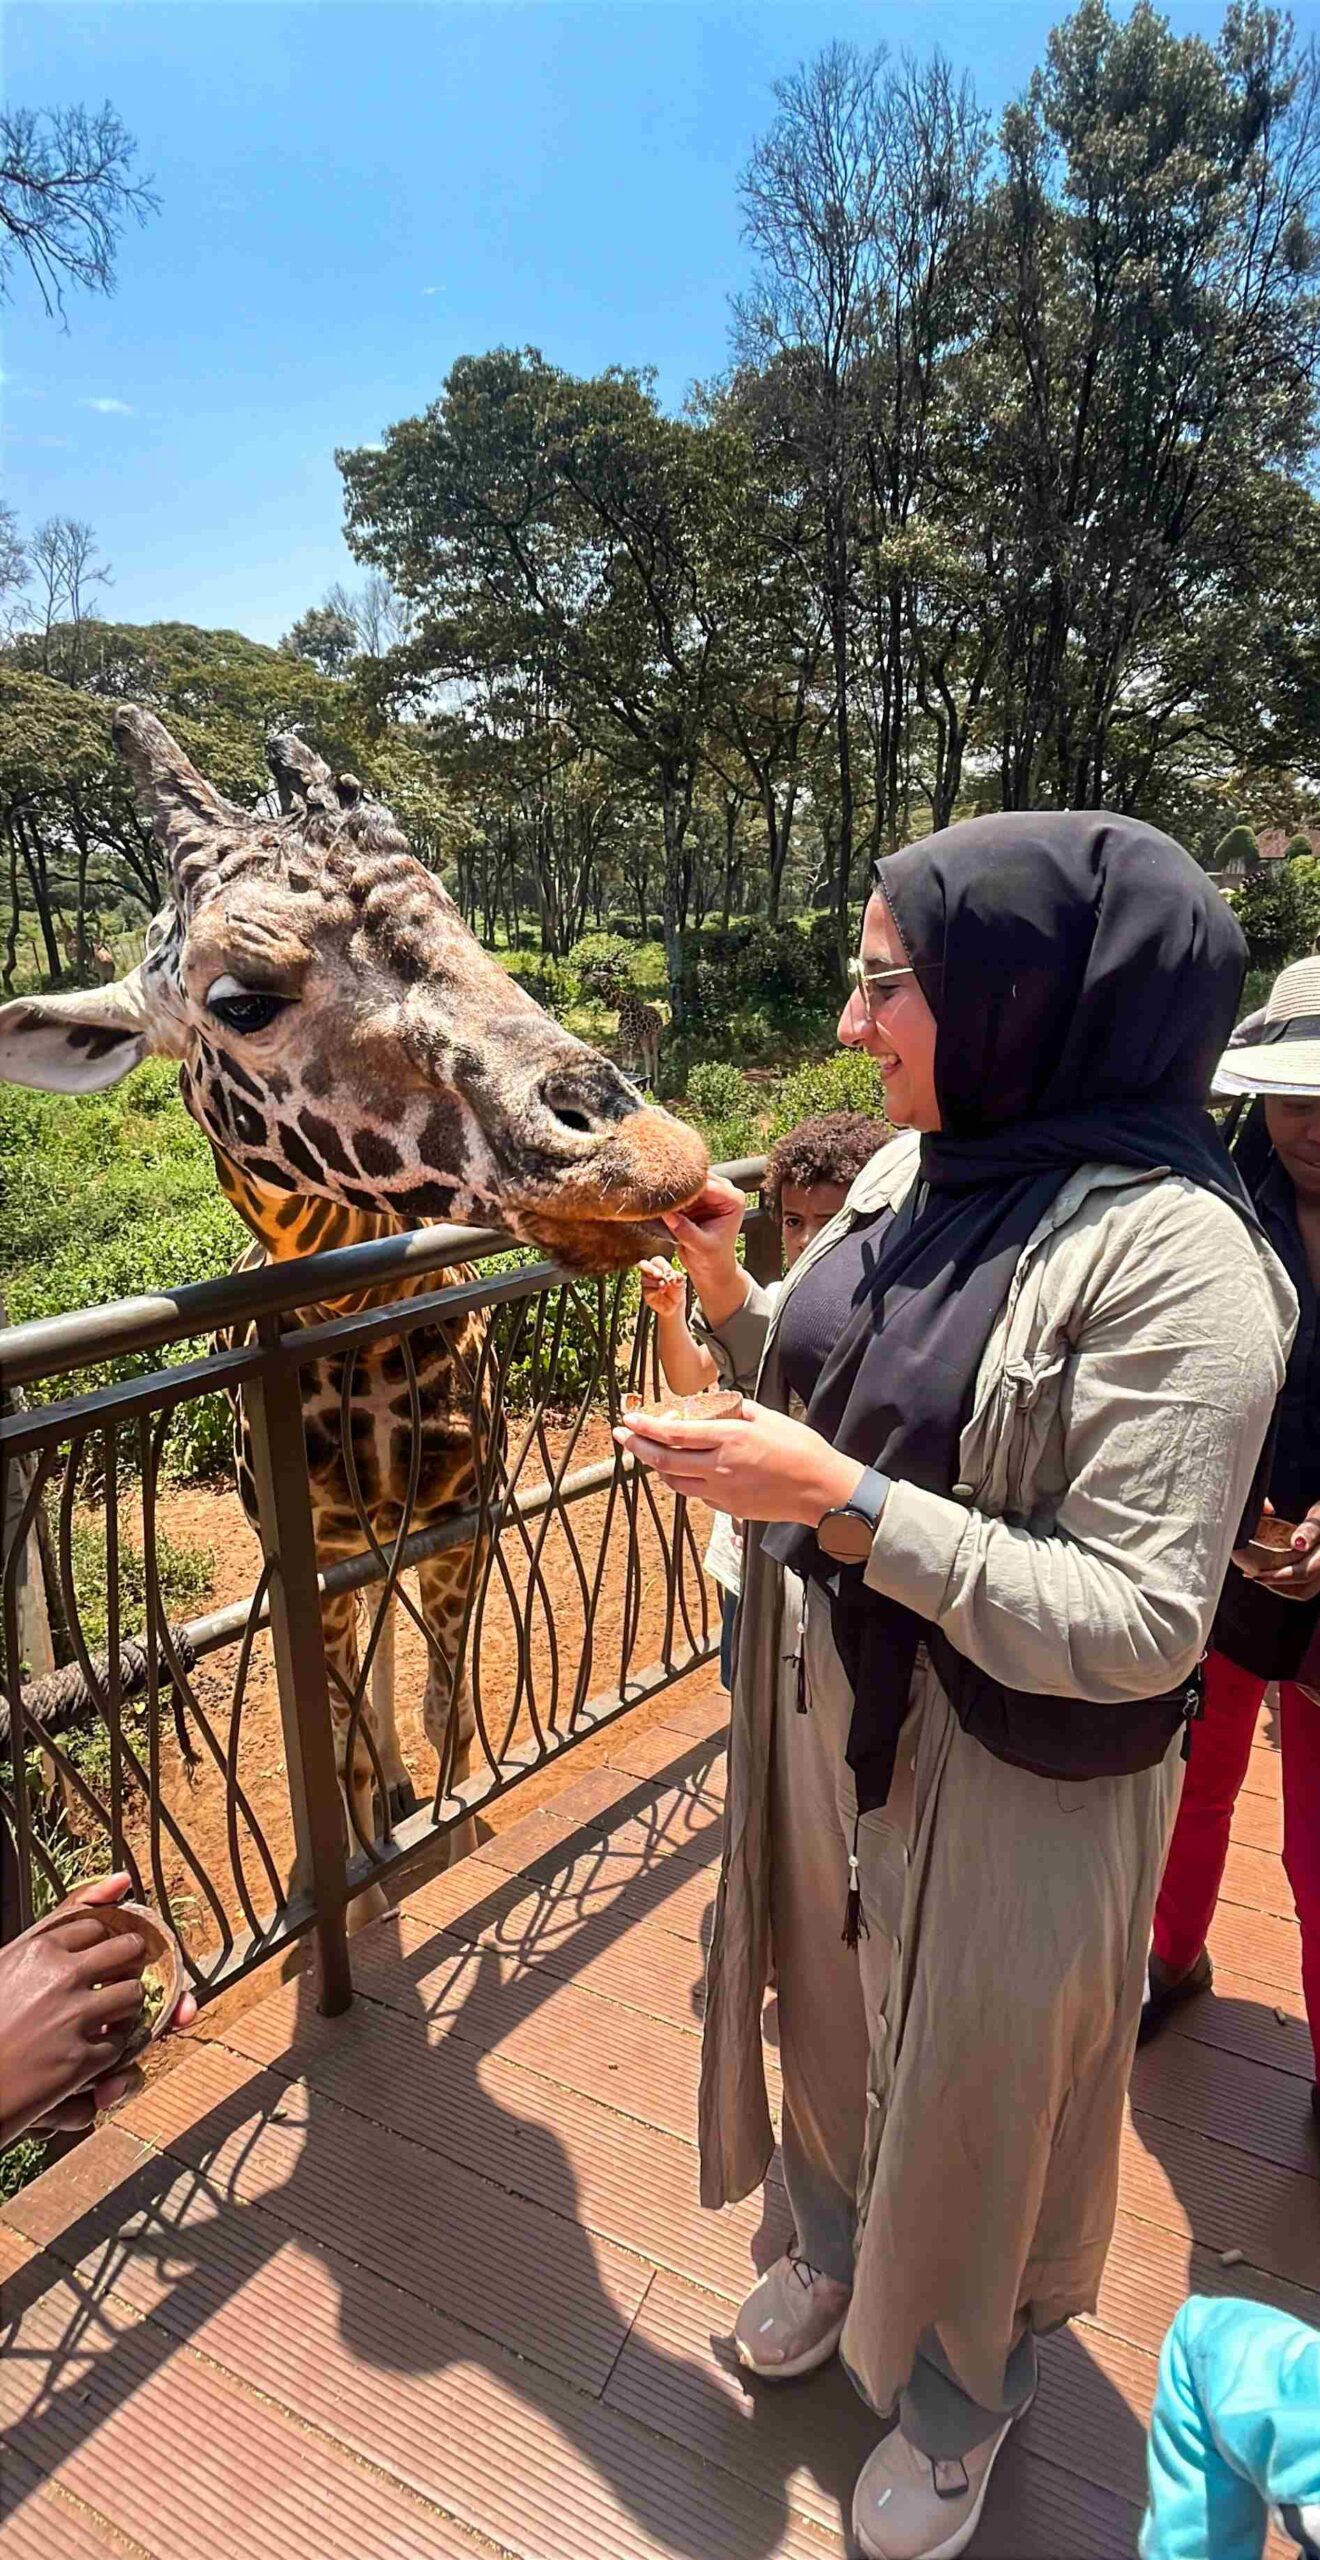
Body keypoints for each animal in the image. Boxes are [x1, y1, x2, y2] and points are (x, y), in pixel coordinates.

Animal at [0, 708, 708, 1880]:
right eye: (242, 1001)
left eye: (459, 918)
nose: (648, 1154)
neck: (355, 1333)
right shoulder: (318, 1548)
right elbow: (342, 1751)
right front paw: (377, 1848)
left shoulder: (462, 1510)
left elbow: (450, 1713)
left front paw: (453, 1821)